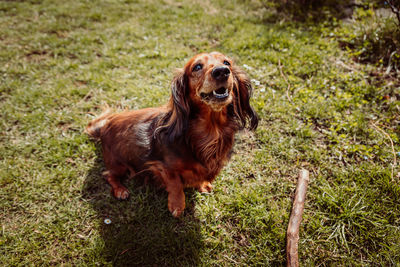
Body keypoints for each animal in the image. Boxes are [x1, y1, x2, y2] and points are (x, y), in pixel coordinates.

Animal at [86, 51, 258, 218]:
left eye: (226, 62)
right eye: (197, 67)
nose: (222, 71)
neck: (210, 131)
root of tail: (104, 127)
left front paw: (202, 185)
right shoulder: (163, 167)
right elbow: (176, 185)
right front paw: (177, 206)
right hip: (119, 164)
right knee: (108, 175)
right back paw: (120, 190)